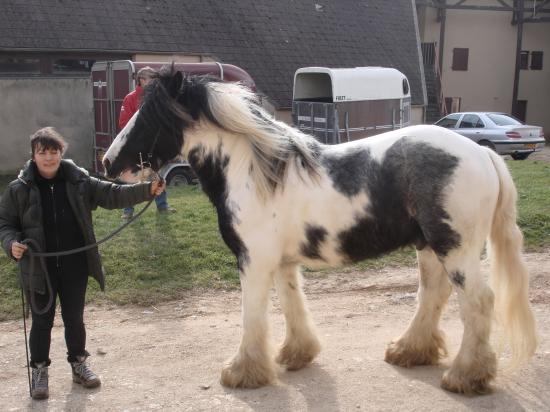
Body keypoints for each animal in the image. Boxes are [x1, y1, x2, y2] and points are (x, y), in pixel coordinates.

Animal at [103, 69, 540, 394]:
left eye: (150, 116)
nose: (108, 163)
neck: (256, 173)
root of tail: (480, 152)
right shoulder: (280, 262)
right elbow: (291, 303)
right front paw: (296, 355)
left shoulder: (253, 262)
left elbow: (252, 315)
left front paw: (242, 372)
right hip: (430, 247)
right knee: (434, 293)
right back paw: (409, 351)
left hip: (456, 249)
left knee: (478, 301)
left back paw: (466, 376)